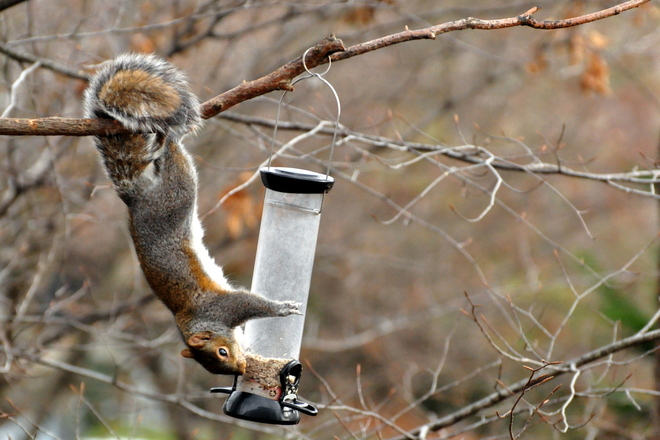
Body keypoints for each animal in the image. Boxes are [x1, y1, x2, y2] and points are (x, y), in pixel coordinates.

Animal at [83, 52, 302, 374]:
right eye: (217, 362)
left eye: (222, 352)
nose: (240, 369)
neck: (196, 320)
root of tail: (135, 196)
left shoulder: (223, 307)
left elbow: (252, 302)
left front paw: (282, 308)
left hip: (177, 191)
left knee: (173, 154)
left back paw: (166, 139)